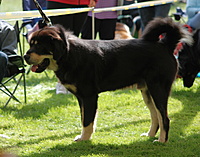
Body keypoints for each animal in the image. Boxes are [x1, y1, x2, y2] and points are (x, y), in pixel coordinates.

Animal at [24, 17, 193, 143]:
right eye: (30, 45)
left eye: (39, 47)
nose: (25, 56)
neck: (69, 54)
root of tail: (165, 45)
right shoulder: (82, 98)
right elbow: (86, 118)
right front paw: (85, 136)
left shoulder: (89, 96)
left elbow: (87, 121)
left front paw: (84, 138)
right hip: (147, 92)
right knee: (155, 116)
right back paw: (150, 135)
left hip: (158, 89)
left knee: (165, 118)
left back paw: (162, 141)